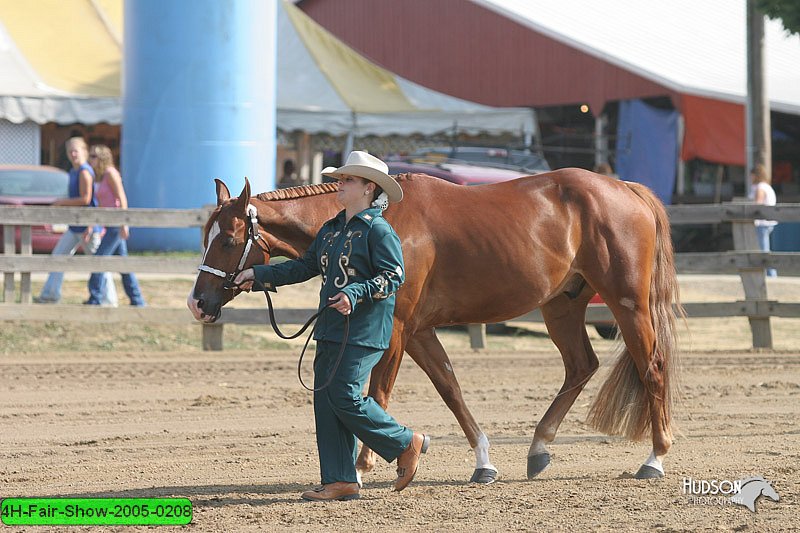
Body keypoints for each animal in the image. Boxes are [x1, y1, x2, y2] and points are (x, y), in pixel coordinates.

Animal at [186, 169, 680, 482]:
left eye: (228, 239)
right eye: (206, 235)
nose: (198, 302)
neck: (380, 216)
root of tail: (626, 188)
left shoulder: (397, 328)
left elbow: (376, 393)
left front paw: (364, 467)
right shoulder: (420, 332)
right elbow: (450, 388)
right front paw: (482, 462)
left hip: (627, 303)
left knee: (653, 367)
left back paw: (654, 459)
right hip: (562, 304)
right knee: (581, 366)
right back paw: (538, 449)